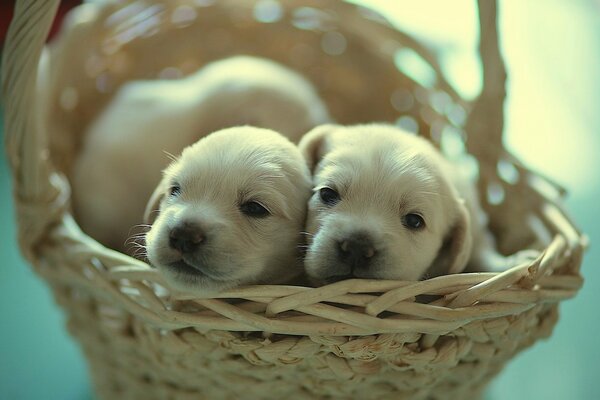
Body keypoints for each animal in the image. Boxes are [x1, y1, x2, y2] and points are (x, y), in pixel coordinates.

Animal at [298, 123, 536, 282]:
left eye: (414, 221)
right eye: (327, 194)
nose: (357, 247)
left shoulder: (475, 227)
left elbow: (481, 252)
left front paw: (514, 262)